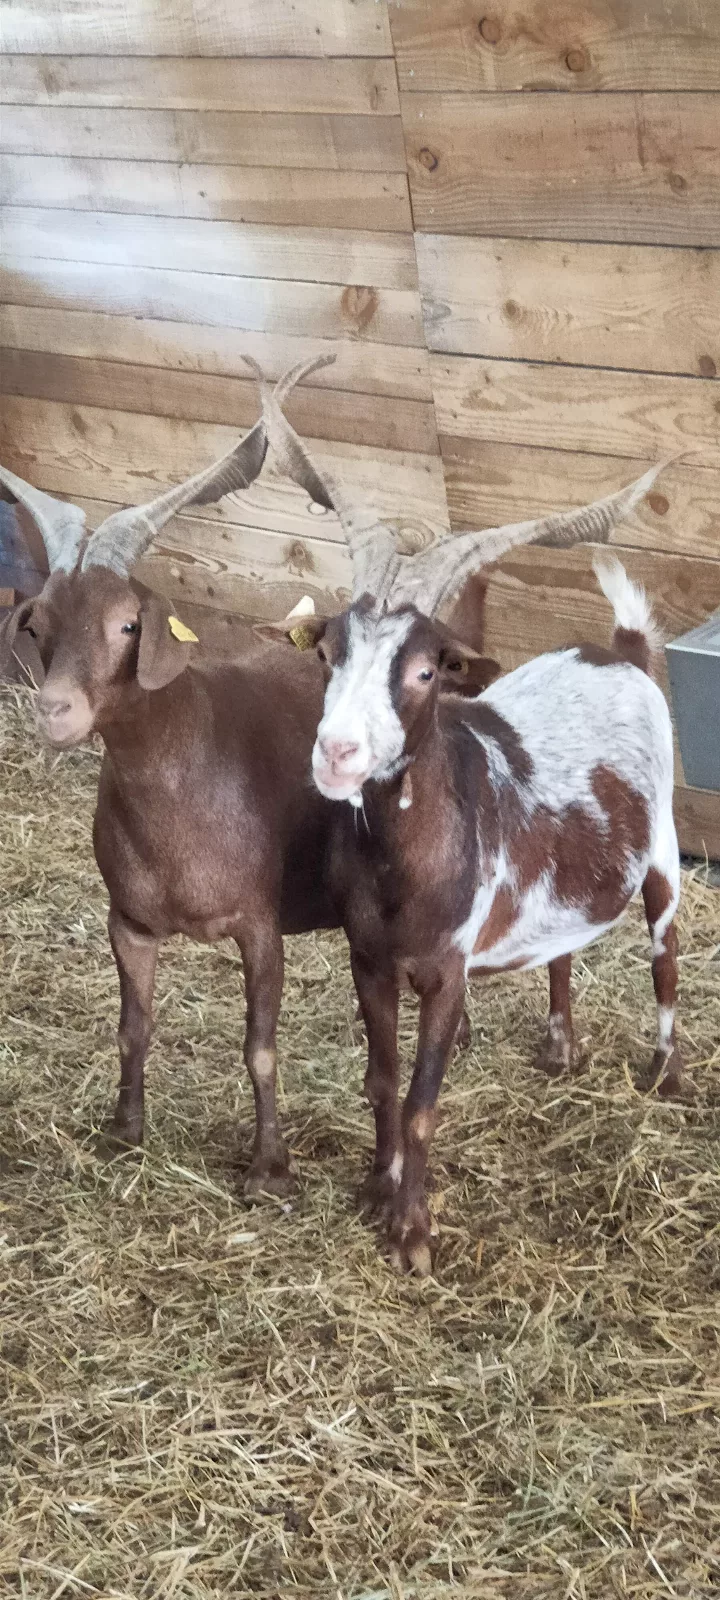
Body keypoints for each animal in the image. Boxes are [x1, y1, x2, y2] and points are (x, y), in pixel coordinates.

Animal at [257, 379, 682, 1274]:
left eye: (425, 670)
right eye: (328, 654)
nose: (337, 753)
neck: (401, 867)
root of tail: (622, 651)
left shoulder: (447, 970)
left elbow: (423, 1099)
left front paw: (413, 1235)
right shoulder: (368, 957)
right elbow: (381, 1081)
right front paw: (377, 1189)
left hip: (661, 846)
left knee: (665, 955)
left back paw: (667, 1074)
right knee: (563, 947)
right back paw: (560, 1046)